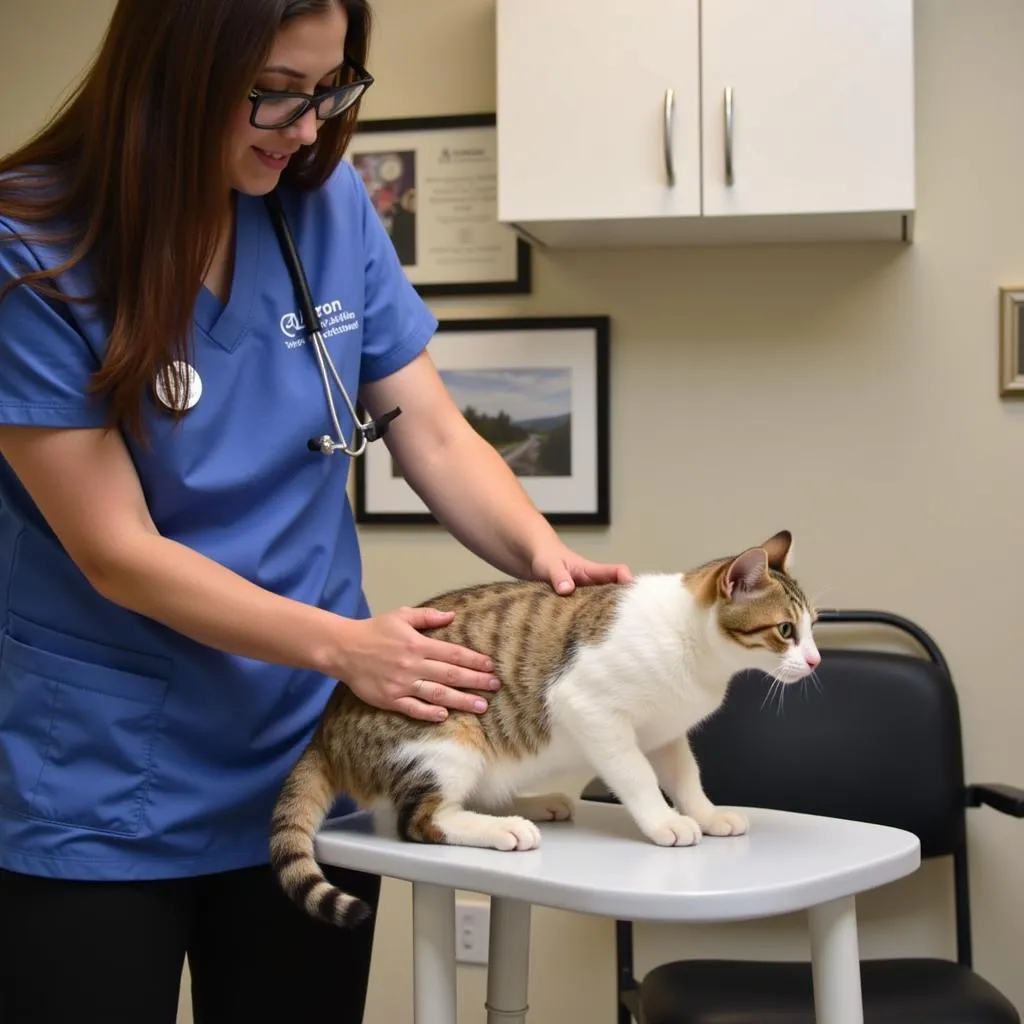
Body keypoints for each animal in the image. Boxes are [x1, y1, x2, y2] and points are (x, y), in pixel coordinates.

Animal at [268, 528, 819, 929]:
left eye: (813, 626)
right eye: (785, 630)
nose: (814, 661)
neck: (696, 651)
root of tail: (325, 727)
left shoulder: (663, 731)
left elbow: (686, 776)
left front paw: (705, 814)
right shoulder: (589, 708)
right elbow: (638, 777)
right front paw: (665, 822)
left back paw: (532, 804)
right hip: (449, 737)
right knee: (421, 820)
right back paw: (505, 829)